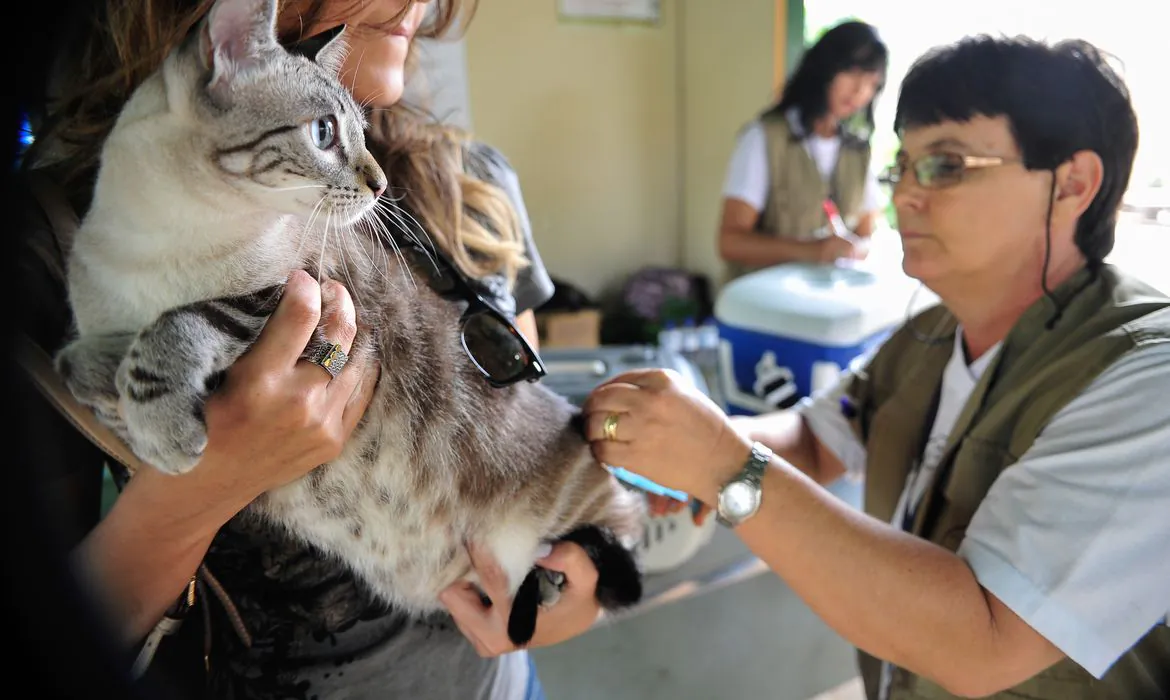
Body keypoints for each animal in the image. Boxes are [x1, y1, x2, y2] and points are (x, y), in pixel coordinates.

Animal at [59, 0, 645, 646]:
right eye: (323, 133)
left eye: (362, 134)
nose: (381, 183)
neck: (164, 241)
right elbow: (81, 364)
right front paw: (112, 381)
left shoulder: (301, 295)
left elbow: (183, 321)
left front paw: (162, 420)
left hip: (577, 525)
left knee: (616, 550)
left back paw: (553, 580)